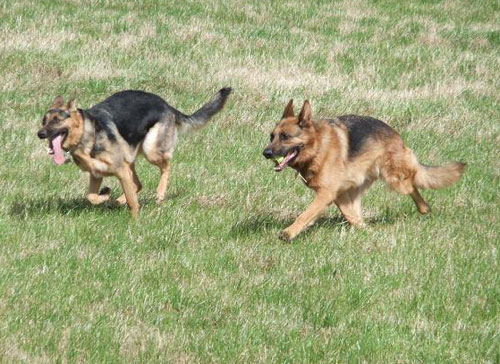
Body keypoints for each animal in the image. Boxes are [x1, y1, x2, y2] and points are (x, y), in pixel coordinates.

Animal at [37, 87, 232, 218]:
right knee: (138, 184)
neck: (87, 133)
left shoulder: (120, 170)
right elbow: (91, 196)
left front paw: (135, 221)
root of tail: (166, 104)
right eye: (44, 121)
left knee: (167, 165)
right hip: (131, 158)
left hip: (150, 150)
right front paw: (106, 195)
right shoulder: (97, 175)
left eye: (57, 120)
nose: (40, 134)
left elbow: (132, 202)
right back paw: (117, 200)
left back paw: (160, 193)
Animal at [264, 99, 462, 242]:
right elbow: (349, 216)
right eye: (272, 136)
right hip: (354, 187)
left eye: (285, 136)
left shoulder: (326, 194)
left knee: (412, 185)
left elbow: (304, 215)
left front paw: (288, 233)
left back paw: (424, 208)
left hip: (395, 179)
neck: (318, 147)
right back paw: (368, 229)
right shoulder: (337, 194)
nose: (265, 153)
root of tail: (396, 135)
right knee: (356, 214)